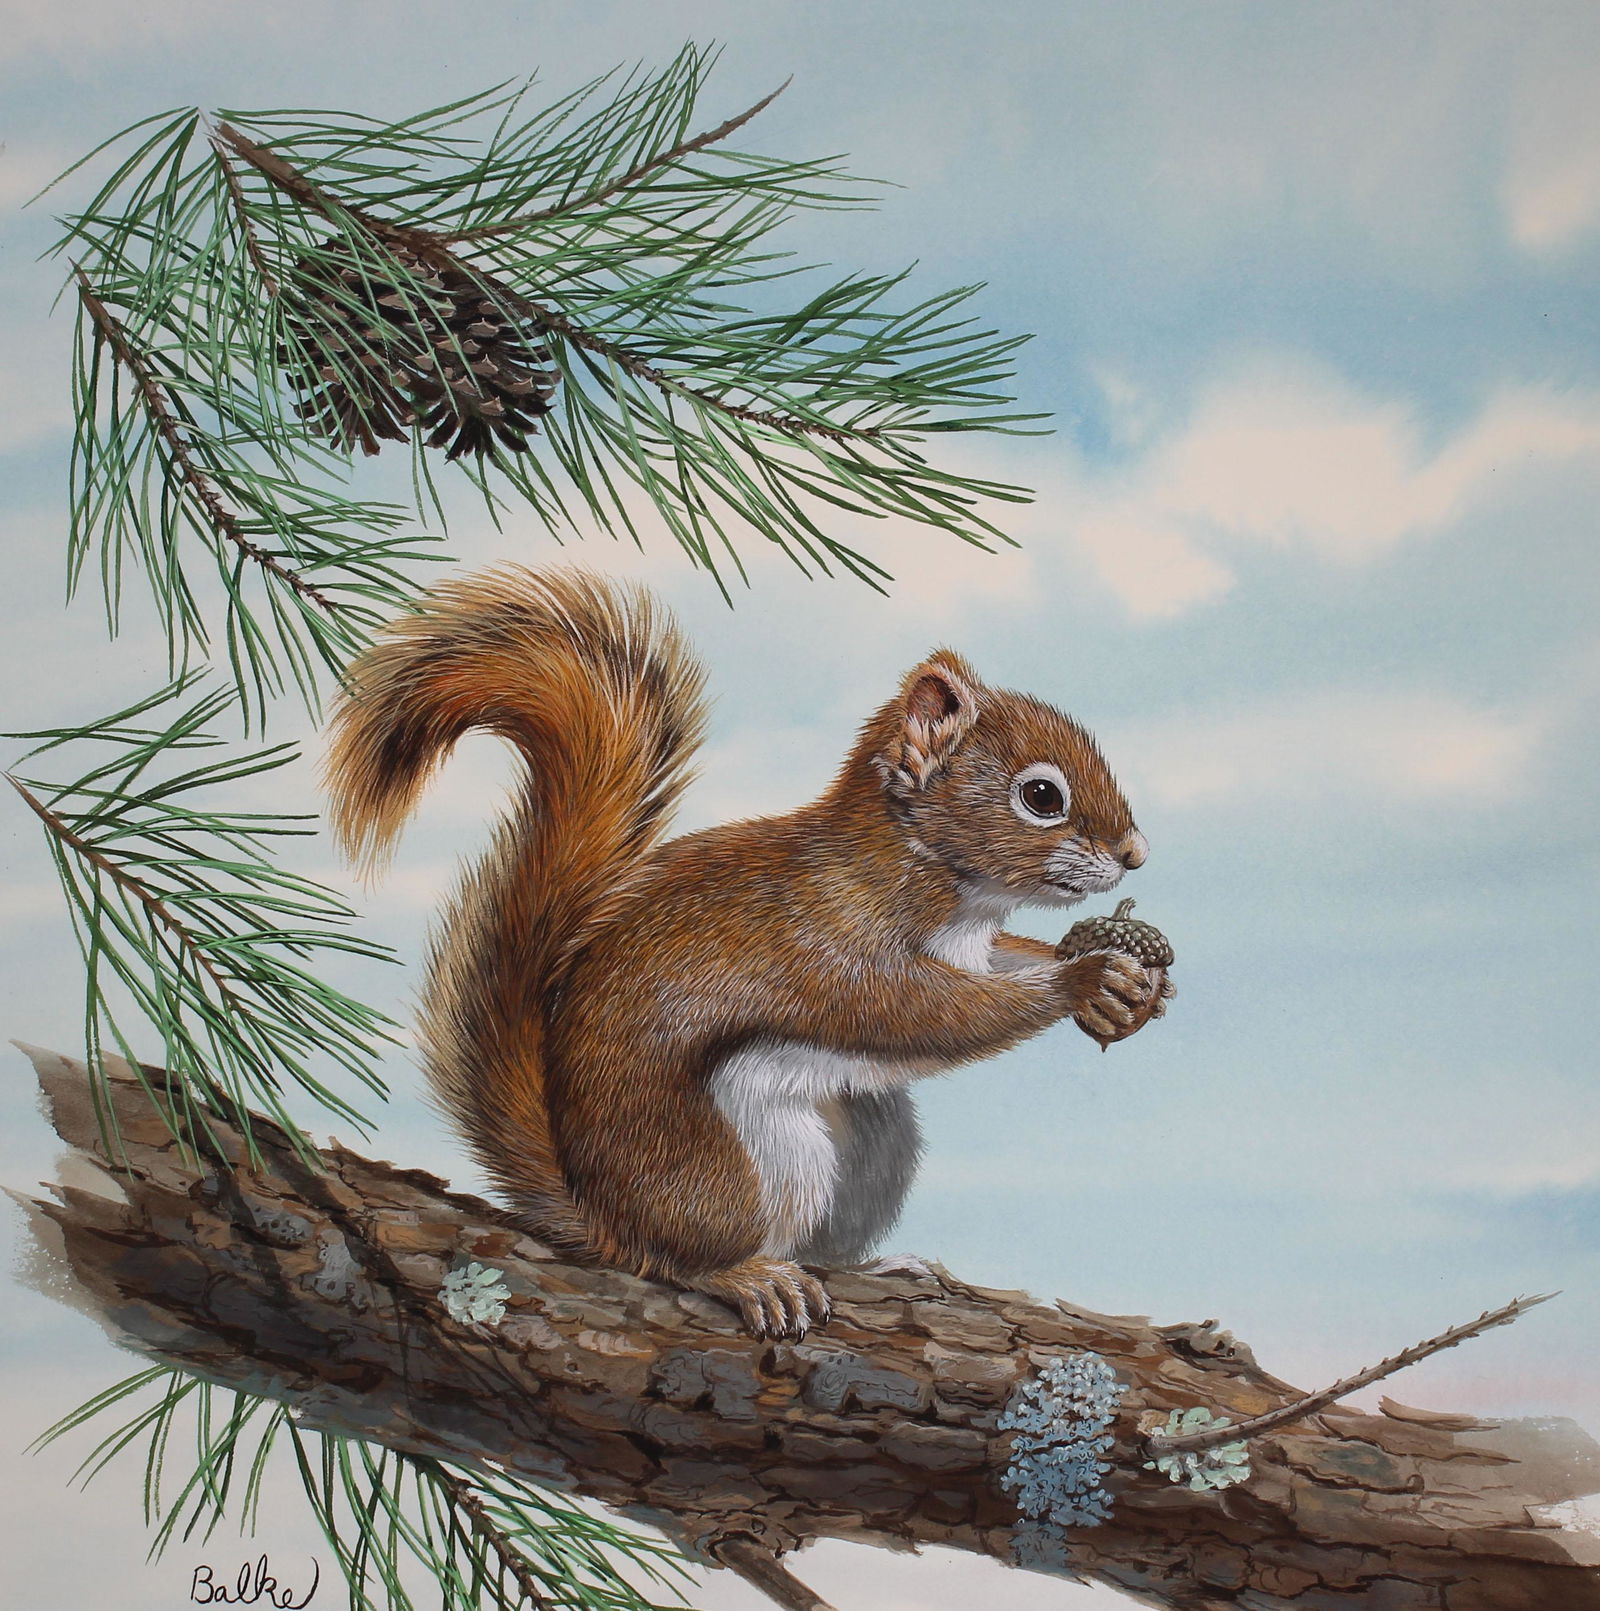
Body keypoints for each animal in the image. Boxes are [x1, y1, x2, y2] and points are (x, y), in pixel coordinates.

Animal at [324, 565, 1167, 1339]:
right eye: (1042, 796)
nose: (1137, 853)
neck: (925, 871)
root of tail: (599, 1213)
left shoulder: (970, 948)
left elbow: (1004, 964)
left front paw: (1122, 981)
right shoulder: (830, 947)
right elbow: (925, 1012)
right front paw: (1086, 978)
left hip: (873, 1143)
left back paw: (875, 1265)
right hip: (731, 1164)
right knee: (676, 1258)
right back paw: (745, 1274)